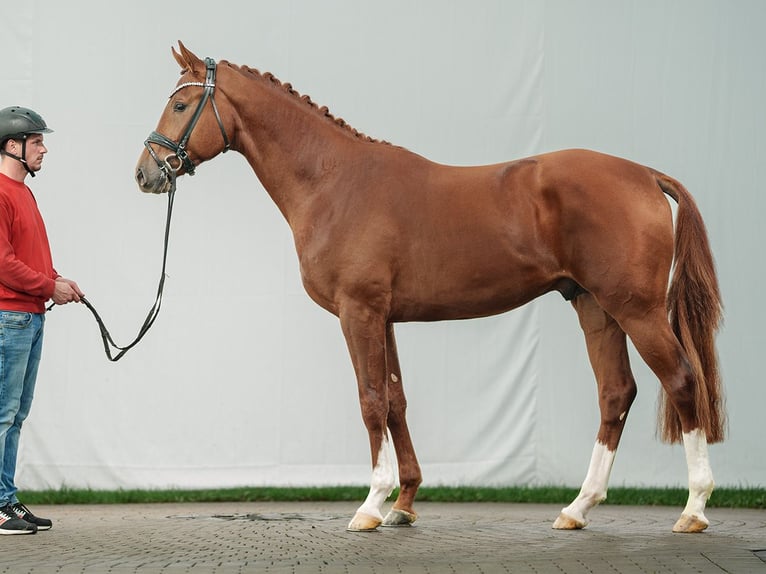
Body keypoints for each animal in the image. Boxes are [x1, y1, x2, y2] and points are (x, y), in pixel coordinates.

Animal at [135, 44, 728, 536]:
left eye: (182, 105)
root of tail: (645, 174)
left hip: (637, 310)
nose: (146, 173)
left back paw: (694, 509)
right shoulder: (384, 317)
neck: (333, 181)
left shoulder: (359, 312)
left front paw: (370, 505)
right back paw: (577, 508)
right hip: (595, 308)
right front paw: (403, 503)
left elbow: (371, 400)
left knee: (682, 379)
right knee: (615, 393)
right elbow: (396, 400)